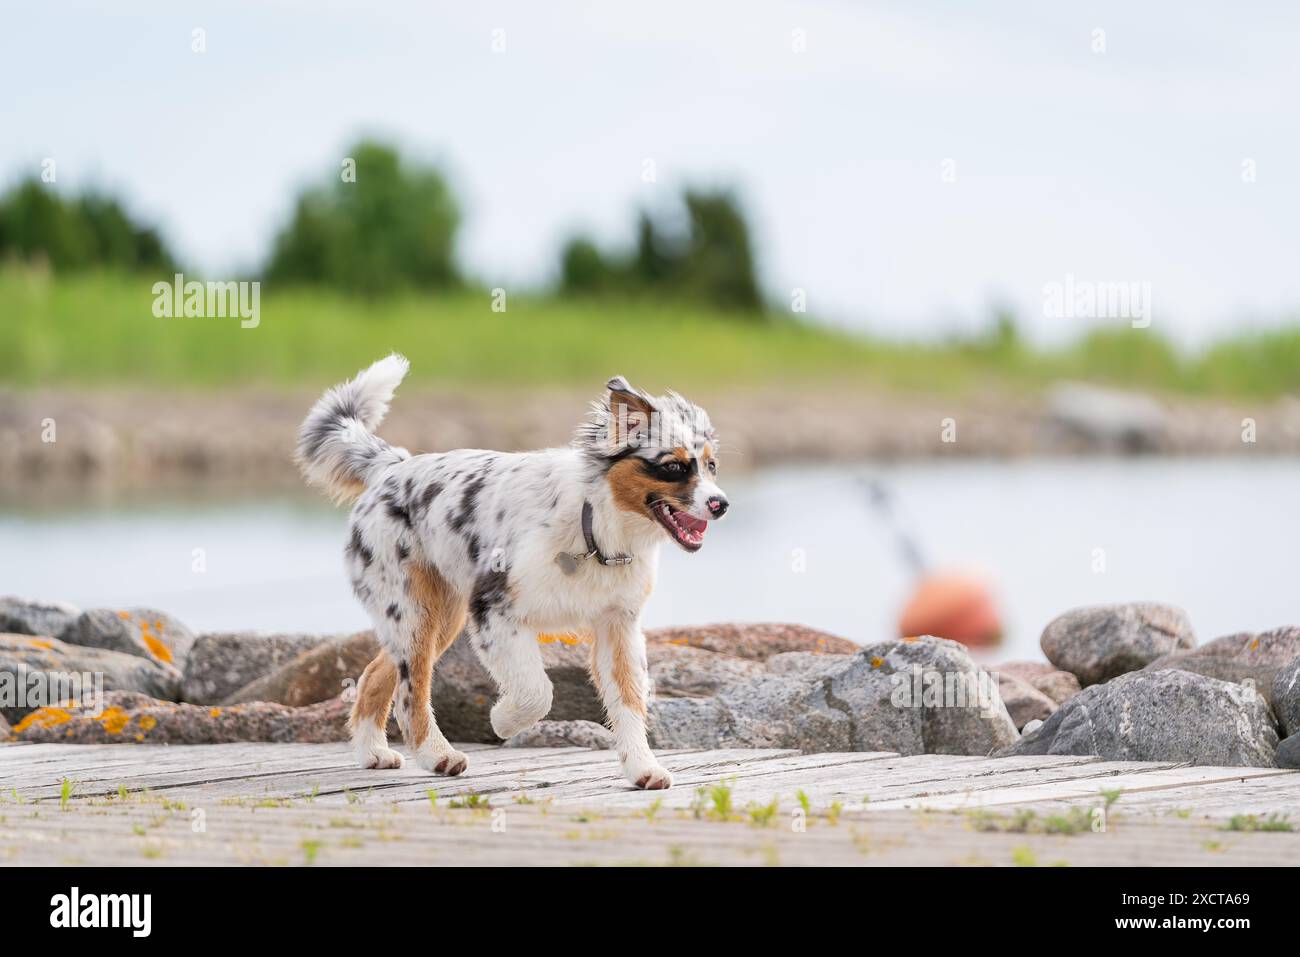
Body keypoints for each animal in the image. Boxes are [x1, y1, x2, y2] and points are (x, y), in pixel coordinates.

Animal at [297, 356, 738, 790]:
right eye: (674, 467)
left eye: (712, 466)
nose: (721, 504)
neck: (595, 525)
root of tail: (392, 467)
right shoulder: (495, 611)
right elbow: (536, 691)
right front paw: (502, 721)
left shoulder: (619, 626)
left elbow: (629, 702)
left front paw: (643, 769)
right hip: (412, 611)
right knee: (411, 692)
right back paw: (438, 756)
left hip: (441, 617)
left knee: (375, 674)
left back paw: (373, 752)